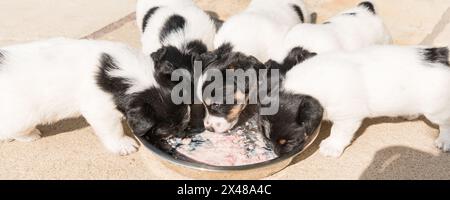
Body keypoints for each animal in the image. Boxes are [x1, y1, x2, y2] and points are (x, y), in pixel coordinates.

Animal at [0, 38, 192, 155]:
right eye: (168, 129)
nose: (184, 134)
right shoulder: (100, 110)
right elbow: (113, 129)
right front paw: (124, 145)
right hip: (21, 117)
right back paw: (30, 135)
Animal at [282, 45, 450, 158]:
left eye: (289, 141)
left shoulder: (347, 118)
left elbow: (338, 132)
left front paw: (331, 146)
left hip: (436, 110)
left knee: (445, 123)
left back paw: (444, 141)